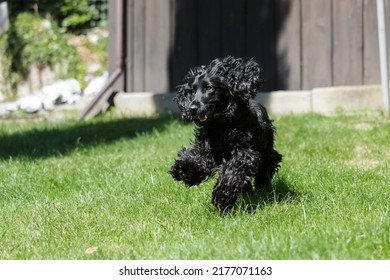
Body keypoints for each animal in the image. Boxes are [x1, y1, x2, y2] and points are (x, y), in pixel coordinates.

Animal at [169, 56, 282, 210]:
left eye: (209, 88)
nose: (192, 108)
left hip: (267, 150)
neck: (222, 126)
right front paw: (184, 169)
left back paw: (262, 188)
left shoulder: (245, 152)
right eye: (192, 90)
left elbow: (233, 170)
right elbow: (197, 156)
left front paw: (222, 196)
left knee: (267, 166)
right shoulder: (209, 147)